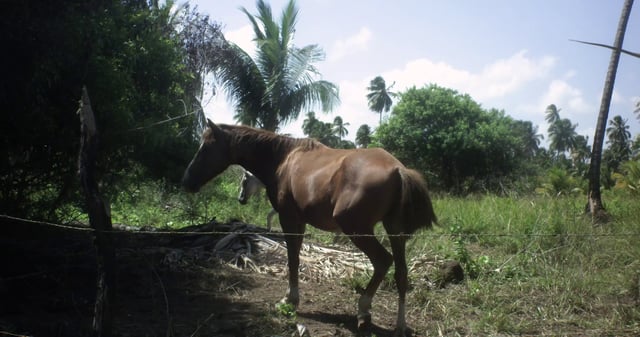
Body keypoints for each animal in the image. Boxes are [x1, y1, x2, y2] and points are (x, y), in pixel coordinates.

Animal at [182, 119, 438, 334]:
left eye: (205, 147)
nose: (187, 181)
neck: (283, 158)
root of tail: (398, 169)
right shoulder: (301, 221)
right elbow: (295, 255)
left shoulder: (289, 218)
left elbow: (293, 258)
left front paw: (290, 299)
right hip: (395, 230)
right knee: (401, 273)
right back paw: (399, 325)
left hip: (356, 229)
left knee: (382, 261)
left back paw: (363, 309)